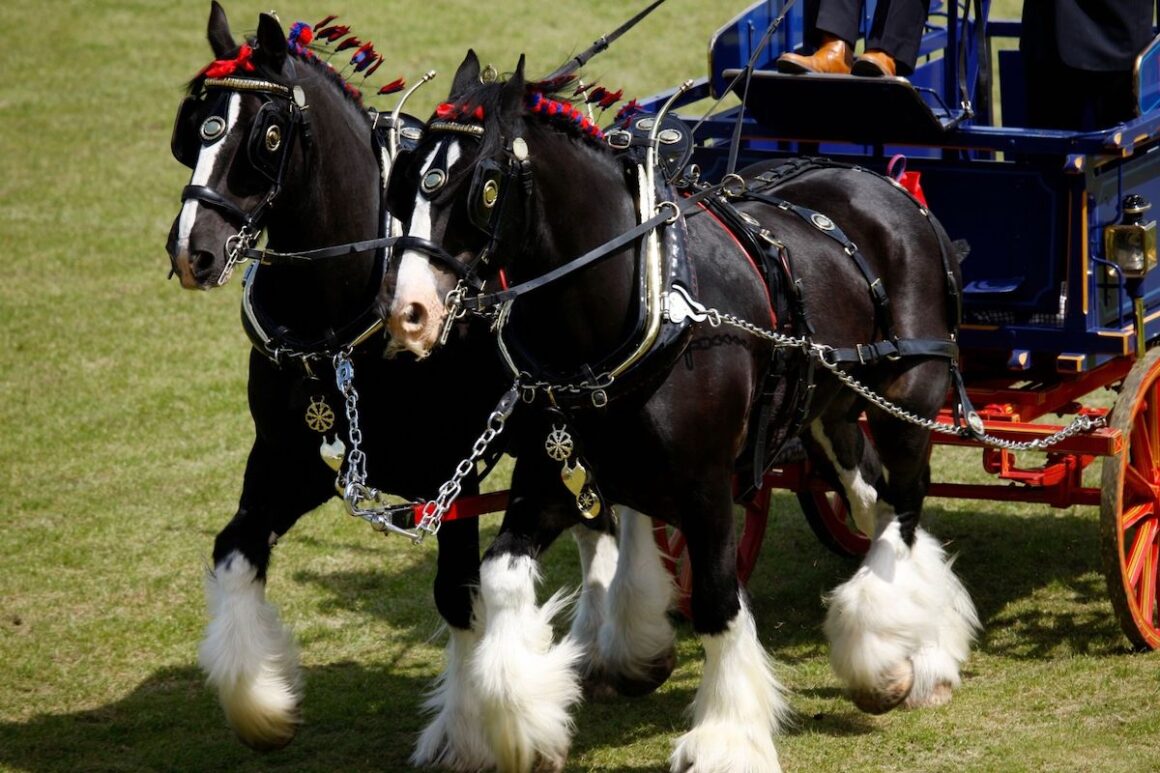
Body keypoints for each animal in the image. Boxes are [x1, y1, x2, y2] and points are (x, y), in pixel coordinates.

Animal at [167, 7, 621, 752]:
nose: (190, 250)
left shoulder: (450, 474)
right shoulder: (293, 457)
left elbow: (457, 594)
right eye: (191, 127)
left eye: (266, 135)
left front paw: (471, 733)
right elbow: (234, 548)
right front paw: (263, 704)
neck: (341, 315)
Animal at [380, 51, 979, 766]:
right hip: (828, 413)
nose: (408, 313)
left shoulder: (706, 486)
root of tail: (889, 186)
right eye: (403, 183)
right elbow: (497, 576)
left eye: (484, 187)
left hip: (906, 399)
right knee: (875, 500)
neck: (637, 305)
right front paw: (521, 722)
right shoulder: (559, 475)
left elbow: (719, 601)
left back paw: (907, 660)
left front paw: (727, 738)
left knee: (905, 509)